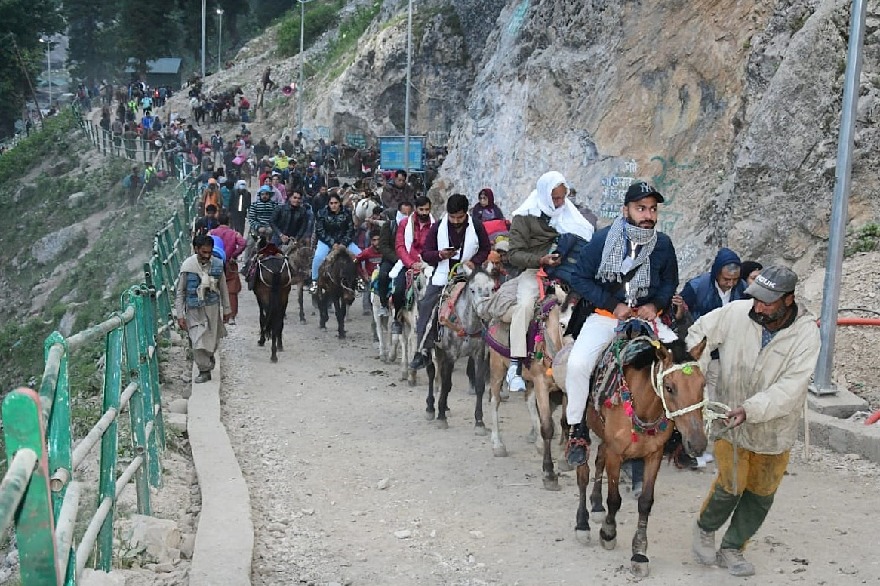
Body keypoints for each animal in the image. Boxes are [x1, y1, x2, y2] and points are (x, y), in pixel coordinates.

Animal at [424, 264, 496, 428]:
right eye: (473, 290)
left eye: (492, 287)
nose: (485, 313)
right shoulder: (451, 355)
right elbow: (445, 384)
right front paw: (441, 417)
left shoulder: (479, 354)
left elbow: (479, 385)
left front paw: (479, 422)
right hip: (431, 348)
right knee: (431, 373)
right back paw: (431, 408)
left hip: (440, 351)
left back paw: (444, 407)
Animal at [568, 326, 712, 576]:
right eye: (669, 388)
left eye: (702, 384)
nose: (697, 444)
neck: (642, 407)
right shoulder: (617, 454)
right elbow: (614, 498)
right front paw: (608, 532)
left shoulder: (653, 455)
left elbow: (645, 502)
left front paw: (639, 552)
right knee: (583, 473)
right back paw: (583, 523)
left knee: (599, 460)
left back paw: (596, 506)